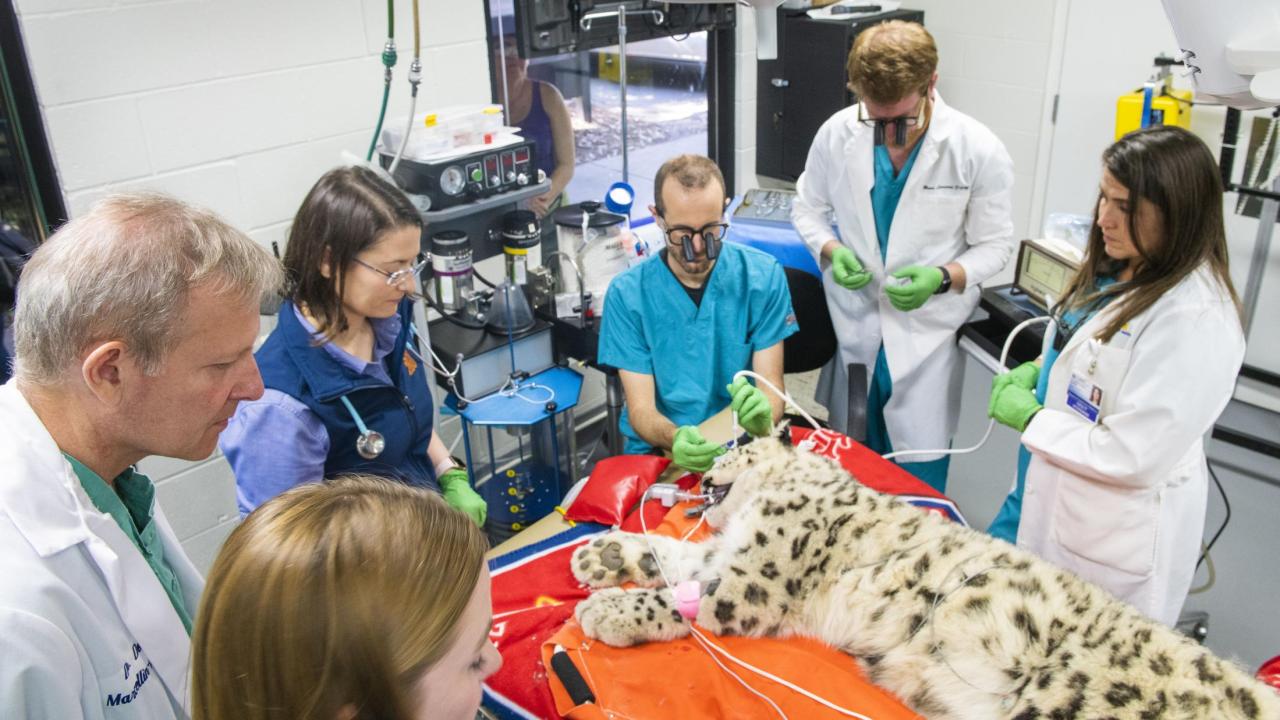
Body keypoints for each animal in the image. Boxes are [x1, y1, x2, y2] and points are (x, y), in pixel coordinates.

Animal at [573, 427, 1280, 712]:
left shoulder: (754, 582)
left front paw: (606, 610)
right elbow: (673, 558)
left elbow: (684, 596)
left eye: (736, 443)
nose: (700, 471)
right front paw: (598, 555)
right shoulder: (726, 552)